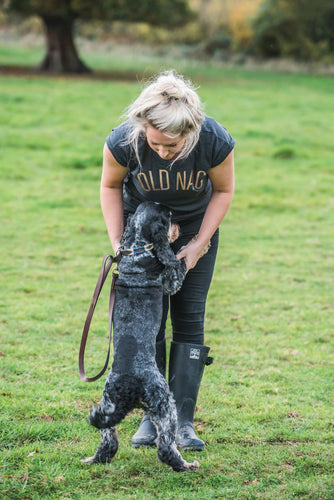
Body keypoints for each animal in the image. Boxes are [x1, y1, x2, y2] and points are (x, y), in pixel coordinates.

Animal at [82, 201, 200, 470]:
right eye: (169, 216)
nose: (180, 226)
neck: (137, 248)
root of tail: (129, 385)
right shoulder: (171, 279)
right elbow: (180, 261)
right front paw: (199, 244)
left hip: (108, 404)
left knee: (108, 441)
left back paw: (93, 459)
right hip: (165, 403)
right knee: (166, 446)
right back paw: (186, 465)